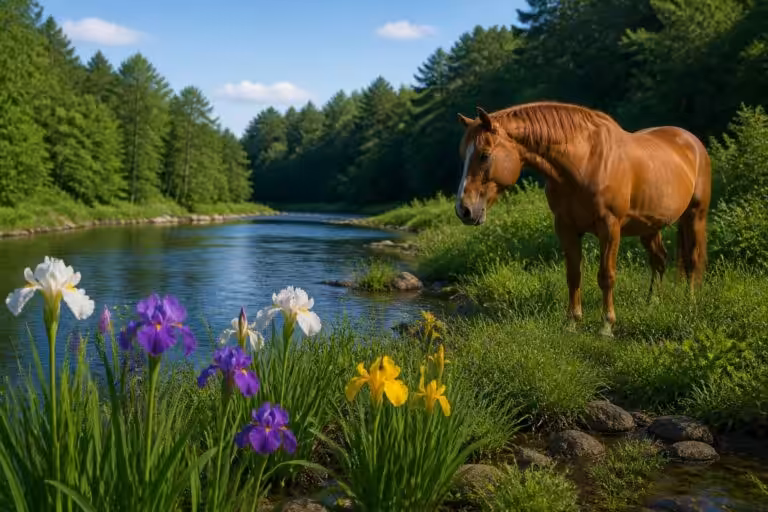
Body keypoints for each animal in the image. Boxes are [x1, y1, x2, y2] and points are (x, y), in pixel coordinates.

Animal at [455, 101, 711, 337]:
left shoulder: (609, 227)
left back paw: (690, 301)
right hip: (649, 227)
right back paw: (652, 303)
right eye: (463, 156)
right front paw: (572, 322)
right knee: (659, 260)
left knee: (693, 260)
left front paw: (607, 326)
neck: (586, 160)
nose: (464, 209)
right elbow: (573, 274)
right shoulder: (565, 227)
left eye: (484, 155)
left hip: (695, 215)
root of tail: (692, 142)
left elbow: (606, 276)